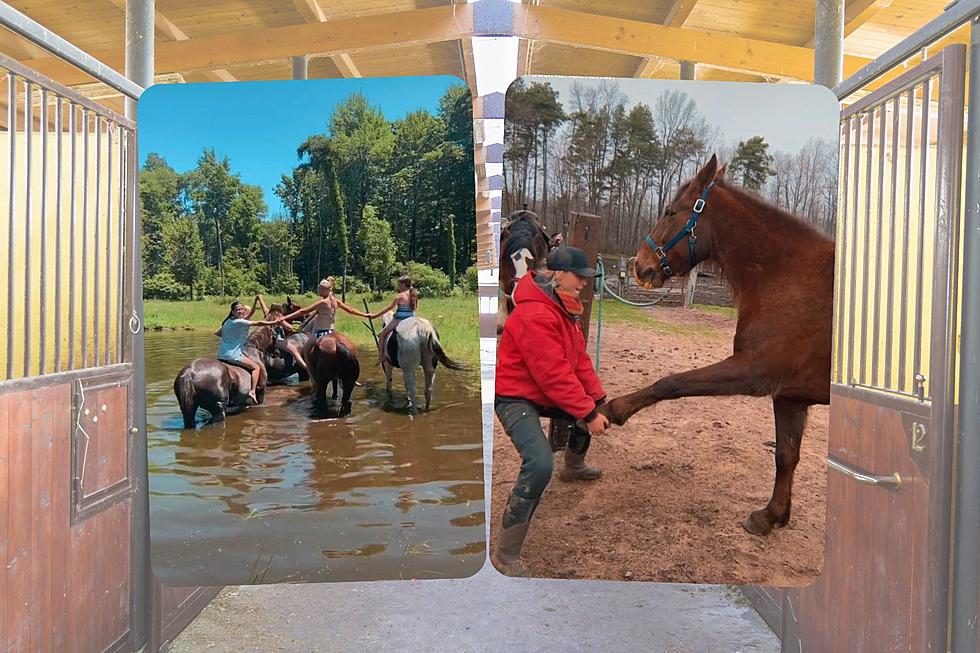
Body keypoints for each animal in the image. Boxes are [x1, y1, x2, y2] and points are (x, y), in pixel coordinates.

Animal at [604, 155, 836, 536]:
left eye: (670, 211)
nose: (641, 266)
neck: (790, 277)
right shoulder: (790, 396)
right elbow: (786, 455)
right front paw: (772, 514)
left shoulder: (753, 371)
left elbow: (671, 383)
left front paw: (615, 409)